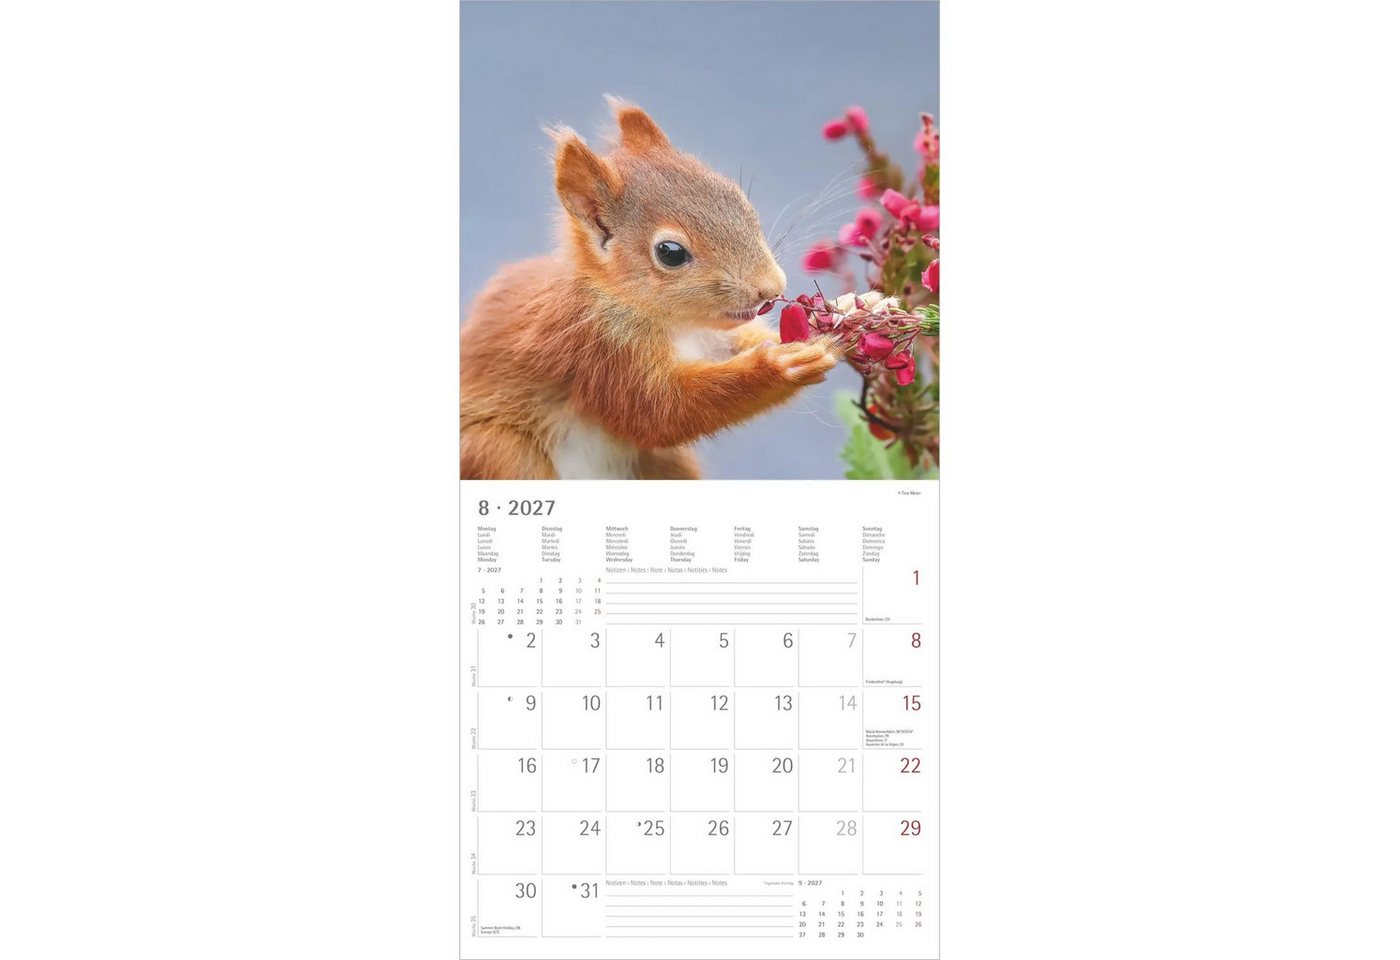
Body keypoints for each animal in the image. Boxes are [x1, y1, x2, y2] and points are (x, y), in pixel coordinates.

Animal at [460, 97, 838, 480]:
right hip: (500, 451)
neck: (677, 325)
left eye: (741, 201)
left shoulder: (712, 339)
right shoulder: (598, 350)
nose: (772, 288)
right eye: (670, 253)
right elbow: (659, 413)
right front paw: (781, 364)